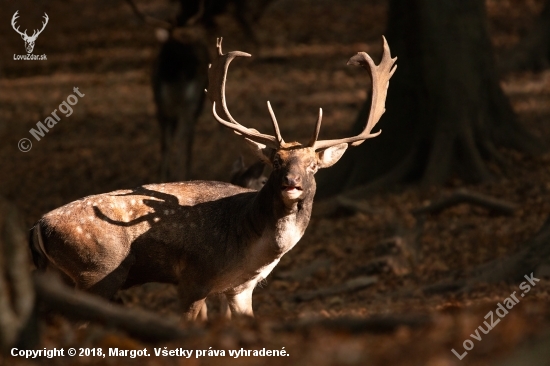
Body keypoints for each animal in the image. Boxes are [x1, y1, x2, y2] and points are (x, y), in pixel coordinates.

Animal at [29, 36, 396, 320]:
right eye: (276, 162)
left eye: (313, 167)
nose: (292, 183)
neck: (249, 246)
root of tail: (38, 227)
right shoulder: (194, 280)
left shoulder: (240, 289)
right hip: (97, 273)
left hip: (64, 277)